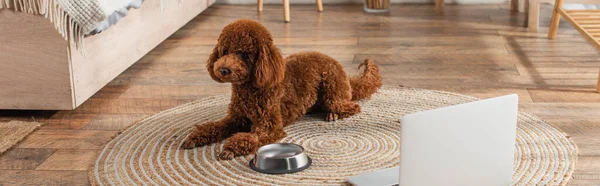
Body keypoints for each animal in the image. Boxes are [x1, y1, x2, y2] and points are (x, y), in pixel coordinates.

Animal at [180, 19, 382, 160]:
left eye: (244, 54)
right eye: (224, 52)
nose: (223, 70)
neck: (250, 89)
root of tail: (342, 70)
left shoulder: (270, 127)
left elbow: (250, 138)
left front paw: (230, 148)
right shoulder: (235, 118)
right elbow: (215, 126)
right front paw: (196, 137)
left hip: (332, 88)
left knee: (351, 106)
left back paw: (333, 114)